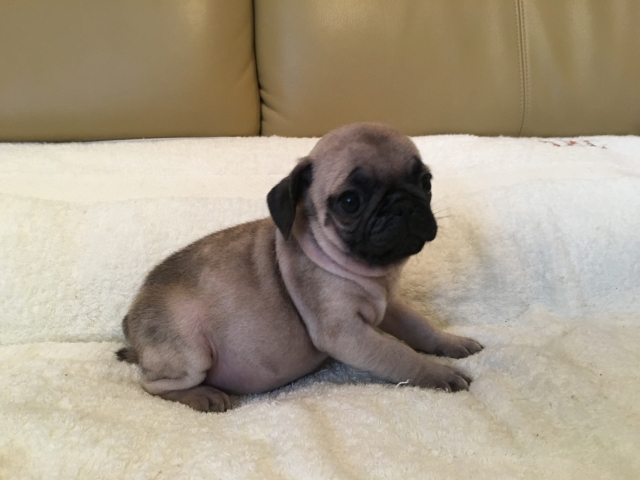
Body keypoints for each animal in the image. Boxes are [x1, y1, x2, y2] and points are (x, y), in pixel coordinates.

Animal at [116, 123, 483, 412]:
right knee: (154, 386)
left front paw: (450, 343)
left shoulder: (390, 305)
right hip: (191, 353)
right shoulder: (346, 333)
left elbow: (418, 326)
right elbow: (399, 355)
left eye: (426, 182)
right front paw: (439, 374)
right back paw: (203, 396)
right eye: (350, 201)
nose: (403, 205)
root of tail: (131, 321)